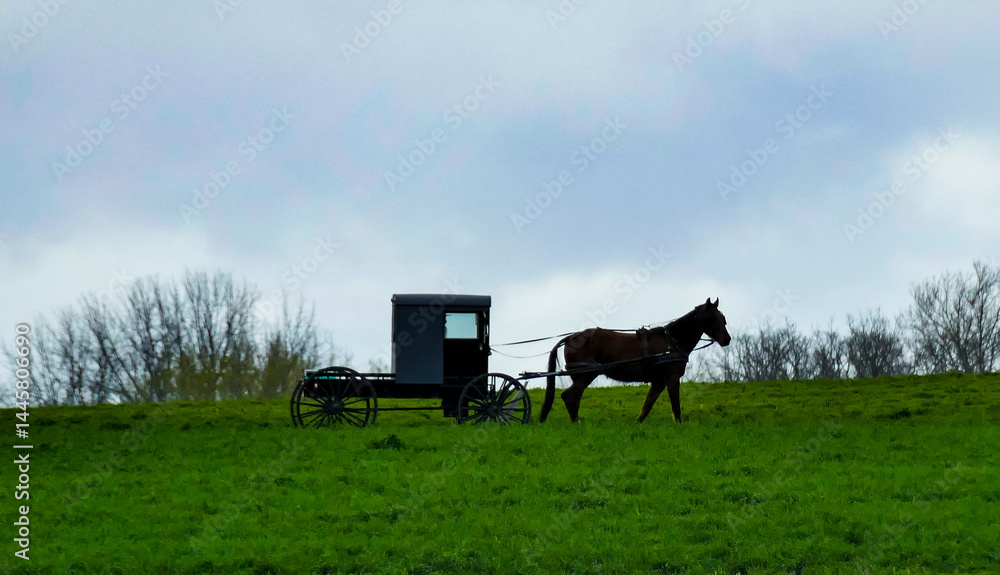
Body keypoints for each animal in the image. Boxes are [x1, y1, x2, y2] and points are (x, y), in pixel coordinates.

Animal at [537, 298, 731, 424]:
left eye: (723, 318)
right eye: (712, 317)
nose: (726, 339)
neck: (672, 341)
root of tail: (570, 338)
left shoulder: (658, 381)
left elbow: (647, 405)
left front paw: (638, 424)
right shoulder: (672, 378)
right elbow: (675, 405)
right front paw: (679, 425)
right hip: (585, 375)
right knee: (570, 397)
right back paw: (576, 422)